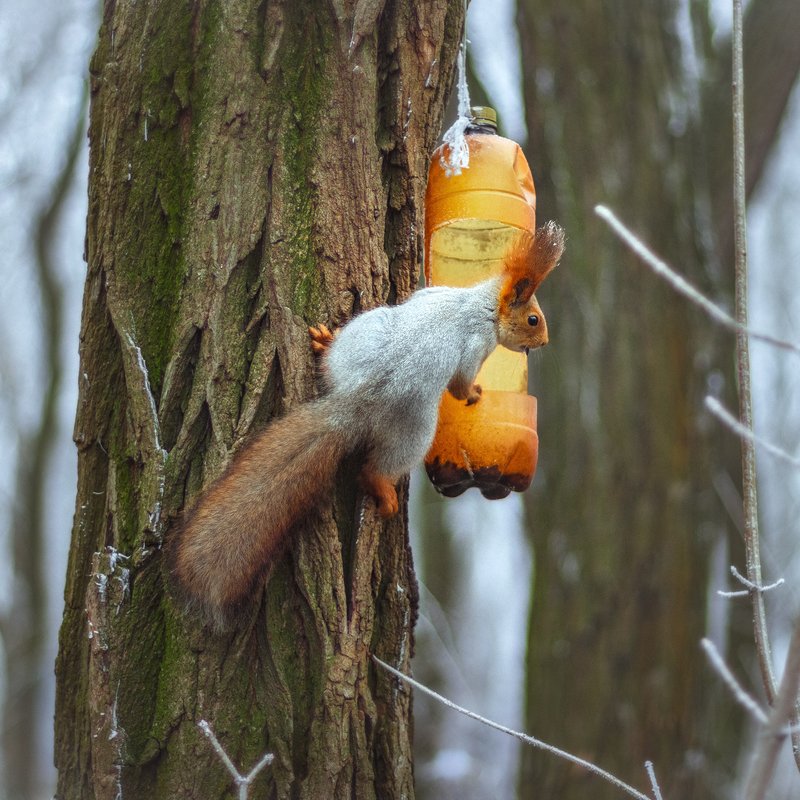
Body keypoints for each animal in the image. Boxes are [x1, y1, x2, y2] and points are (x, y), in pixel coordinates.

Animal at [167, 221, 565, 630]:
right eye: (533, 319)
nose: (545, 341)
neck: (479, 302)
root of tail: (361, 399)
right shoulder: (476, 344)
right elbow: (459, 383)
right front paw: (472, 393)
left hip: (364, 332)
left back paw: (325, 342)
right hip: (414, 429)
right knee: (377, 468)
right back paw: (382, 488)